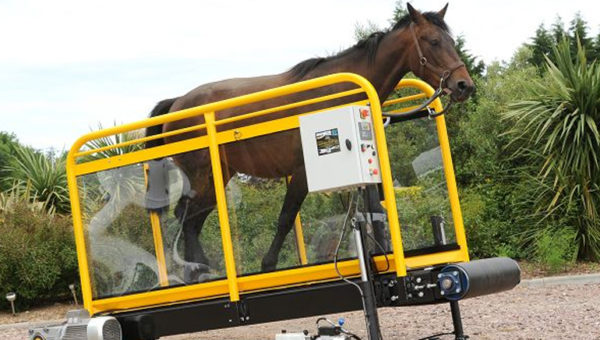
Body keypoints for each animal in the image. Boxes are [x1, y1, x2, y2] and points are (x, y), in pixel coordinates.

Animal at [145, 3, 474, 282]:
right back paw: (200, 272)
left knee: (192, 218)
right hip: (202, 175)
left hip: (217, 177)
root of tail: (177, 103)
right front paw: (268, 266)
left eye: (451, 41)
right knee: (186, 217)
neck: (338, 90)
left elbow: (372, 210)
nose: (464, 85)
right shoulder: (303, 172)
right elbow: (286, 218)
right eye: (433, 41)